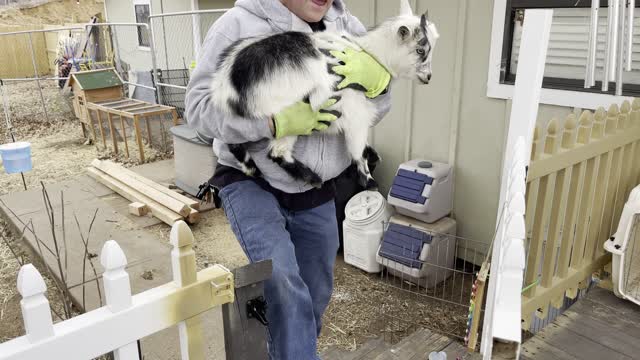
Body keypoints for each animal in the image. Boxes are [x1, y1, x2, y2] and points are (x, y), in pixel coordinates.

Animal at [210, 0, 440, 190]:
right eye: (421, 51)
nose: (429, 77)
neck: (369, 53)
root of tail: (227, 84)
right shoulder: (356, 114)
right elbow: (356, 149)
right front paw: (369, 180)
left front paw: (372, 154)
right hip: (288, 117)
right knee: (276, 152)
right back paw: (312, 178)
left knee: (232, 139)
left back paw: (251, 169)